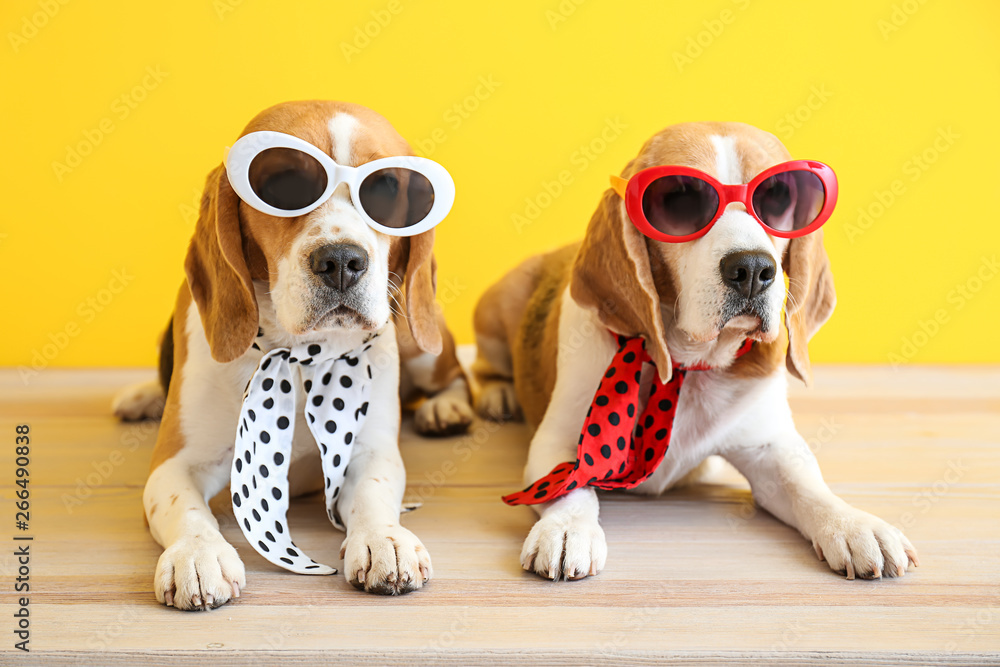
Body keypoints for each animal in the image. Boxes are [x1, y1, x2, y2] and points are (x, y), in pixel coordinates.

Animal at [115, 100, 474, 612]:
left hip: (415, 332)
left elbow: (373, 493)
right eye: (283, 184)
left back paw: (448, 407)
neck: (303, 354)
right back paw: (142, 396)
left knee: (454, 371)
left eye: (385, 186)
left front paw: (384, 539)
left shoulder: (371, 451)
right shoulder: (175, 463)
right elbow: (186, 510)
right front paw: (198, 555)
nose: (342, 260)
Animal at [472, 122, 916, 580]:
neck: (687, 364)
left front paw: (852, 523)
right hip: (496, 307)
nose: (752, 268)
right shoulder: (558, 441)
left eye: (777, 197)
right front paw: (566, 528)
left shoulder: (771, 448)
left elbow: (807, 485)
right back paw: (494, 394)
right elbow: (570, 488)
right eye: (681, 199)